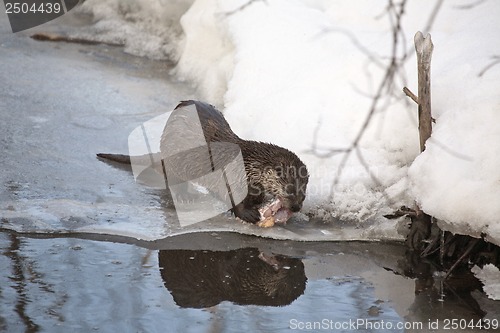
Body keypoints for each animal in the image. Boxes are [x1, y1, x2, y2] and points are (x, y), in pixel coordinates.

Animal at [97, 100, 308, 226]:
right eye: (290, 189)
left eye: (304, 193)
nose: (296, 207)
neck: (247, 164)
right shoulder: (232, 176)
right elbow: (232, 198)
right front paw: (249, 214)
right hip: (174, 158)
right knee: (174, 181)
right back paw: (185, 196)